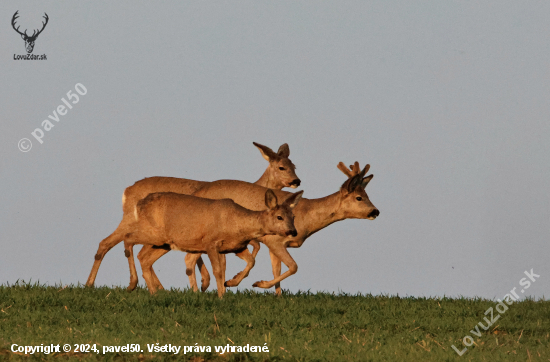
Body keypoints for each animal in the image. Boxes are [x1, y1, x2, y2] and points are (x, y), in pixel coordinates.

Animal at [128, 189, 304, 296]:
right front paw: (221, 295)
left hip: (164, 243)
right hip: (155, 235)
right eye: (279, 217)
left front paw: (234, 282)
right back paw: (133, 284)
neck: (237, 223)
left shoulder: (236, 247)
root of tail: (140, 203)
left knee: (144, 258)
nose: (293, 231)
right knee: (129, 238)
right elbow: (218, 270)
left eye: (293, 216)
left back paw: (154, 292)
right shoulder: (210, 243)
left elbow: (251, 262)